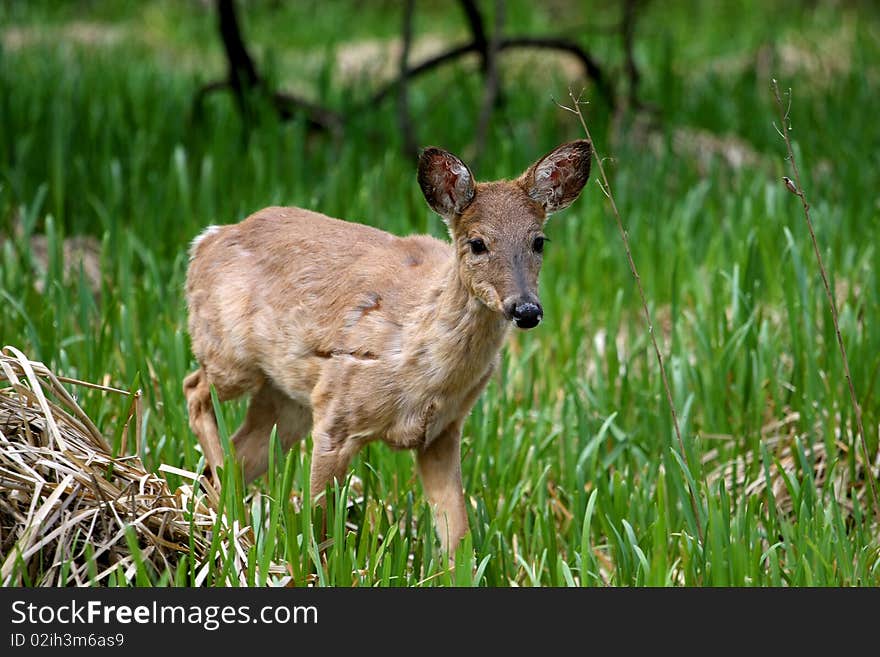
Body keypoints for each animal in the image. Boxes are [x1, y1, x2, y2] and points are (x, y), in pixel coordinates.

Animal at [186, 140, 596, 552]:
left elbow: (458, 537)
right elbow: (319, 529)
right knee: (194, 390)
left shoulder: (441, 433)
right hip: (229, 353)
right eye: (477, 243)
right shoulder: (336, 412)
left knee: (238, 451)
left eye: (538, 241)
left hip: (286, 400)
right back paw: (227, 505)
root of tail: (205, 240)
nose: (526, 309)